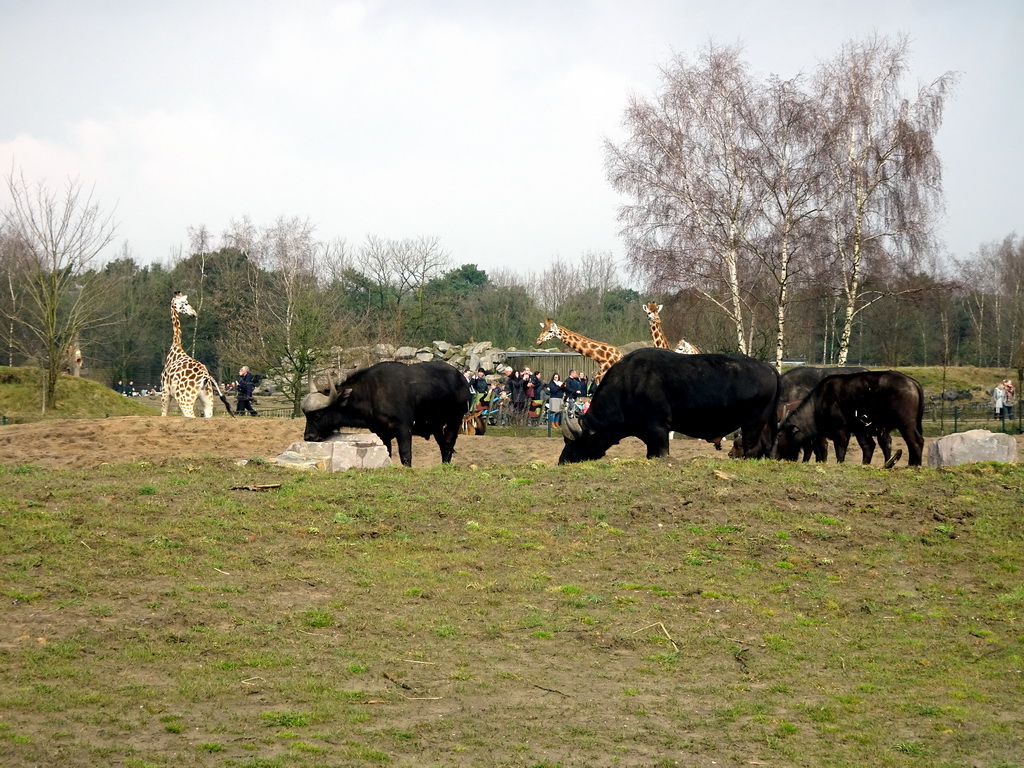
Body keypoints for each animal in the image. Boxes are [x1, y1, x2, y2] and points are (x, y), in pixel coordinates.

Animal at [299, 362, 468, 468]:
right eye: (306, 415)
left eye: (318, 415)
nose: (309, 437)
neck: (372, 393)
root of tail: (462, 379)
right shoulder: (381, 432)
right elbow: (387, 453)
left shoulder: (404, 428)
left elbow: (405, 455)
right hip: (436, 425)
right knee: (443, 445)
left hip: (455, 420)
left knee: (449, 444)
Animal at [557, 348, 778, 462]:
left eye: (572, 442)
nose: (562, 460)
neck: (628, 385)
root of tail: (769, 368)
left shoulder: (657, 431)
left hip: (752, 423)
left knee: (751, 446)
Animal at [774, 370, 929, 466]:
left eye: (779, 435)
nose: (774, 456)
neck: (818, 404)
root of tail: (911, 382)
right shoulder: (861, 430)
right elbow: (868, 447)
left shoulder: (841, 430)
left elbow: (840, 450)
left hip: (906, 423)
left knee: (916, 441)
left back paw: (914, 464)